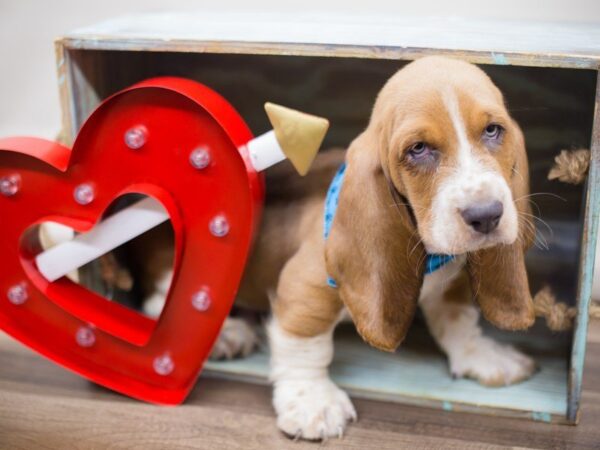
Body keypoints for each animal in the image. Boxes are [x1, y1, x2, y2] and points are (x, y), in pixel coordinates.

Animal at [142, 55, 540, 440]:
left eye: (493, 130)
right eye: (418, 149)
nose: (486, 215)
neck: (430, 255)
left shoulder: (453, 283)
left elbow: (458, 320)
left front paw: (482, 355)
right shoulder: (304, 288)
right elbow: (305, 344)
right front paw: (313, 402)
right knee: (161, 300)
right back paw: (226, 333)